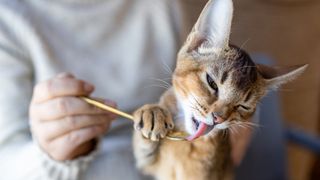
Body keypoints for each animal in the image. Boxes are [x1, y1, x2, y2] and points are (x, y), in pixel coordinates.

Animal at [132, 0, 308, 179]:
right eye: (212, 83)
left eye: (243, 106)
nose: (218, 118)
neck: (185, 135)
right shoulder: (149, 164)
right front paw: (153, 112)